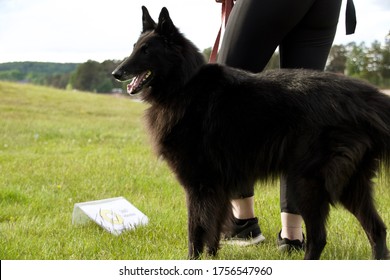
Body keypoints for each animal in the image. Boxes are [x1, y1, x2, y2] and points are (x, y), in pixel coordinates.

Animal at [112, 7, 390, 260]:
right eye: (134, 47)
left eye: (146, 50)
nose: (116, 73)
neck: (185, 84)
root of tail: (367, 96)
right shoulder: (217, 187)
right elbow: (212, 229)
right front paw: (211, 258)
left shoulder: (198, 183)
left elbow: (196, 229)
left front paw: (193, 260)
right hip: (349, 183)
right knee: (377, 229)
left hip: (308, 182)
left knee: (320, 237)